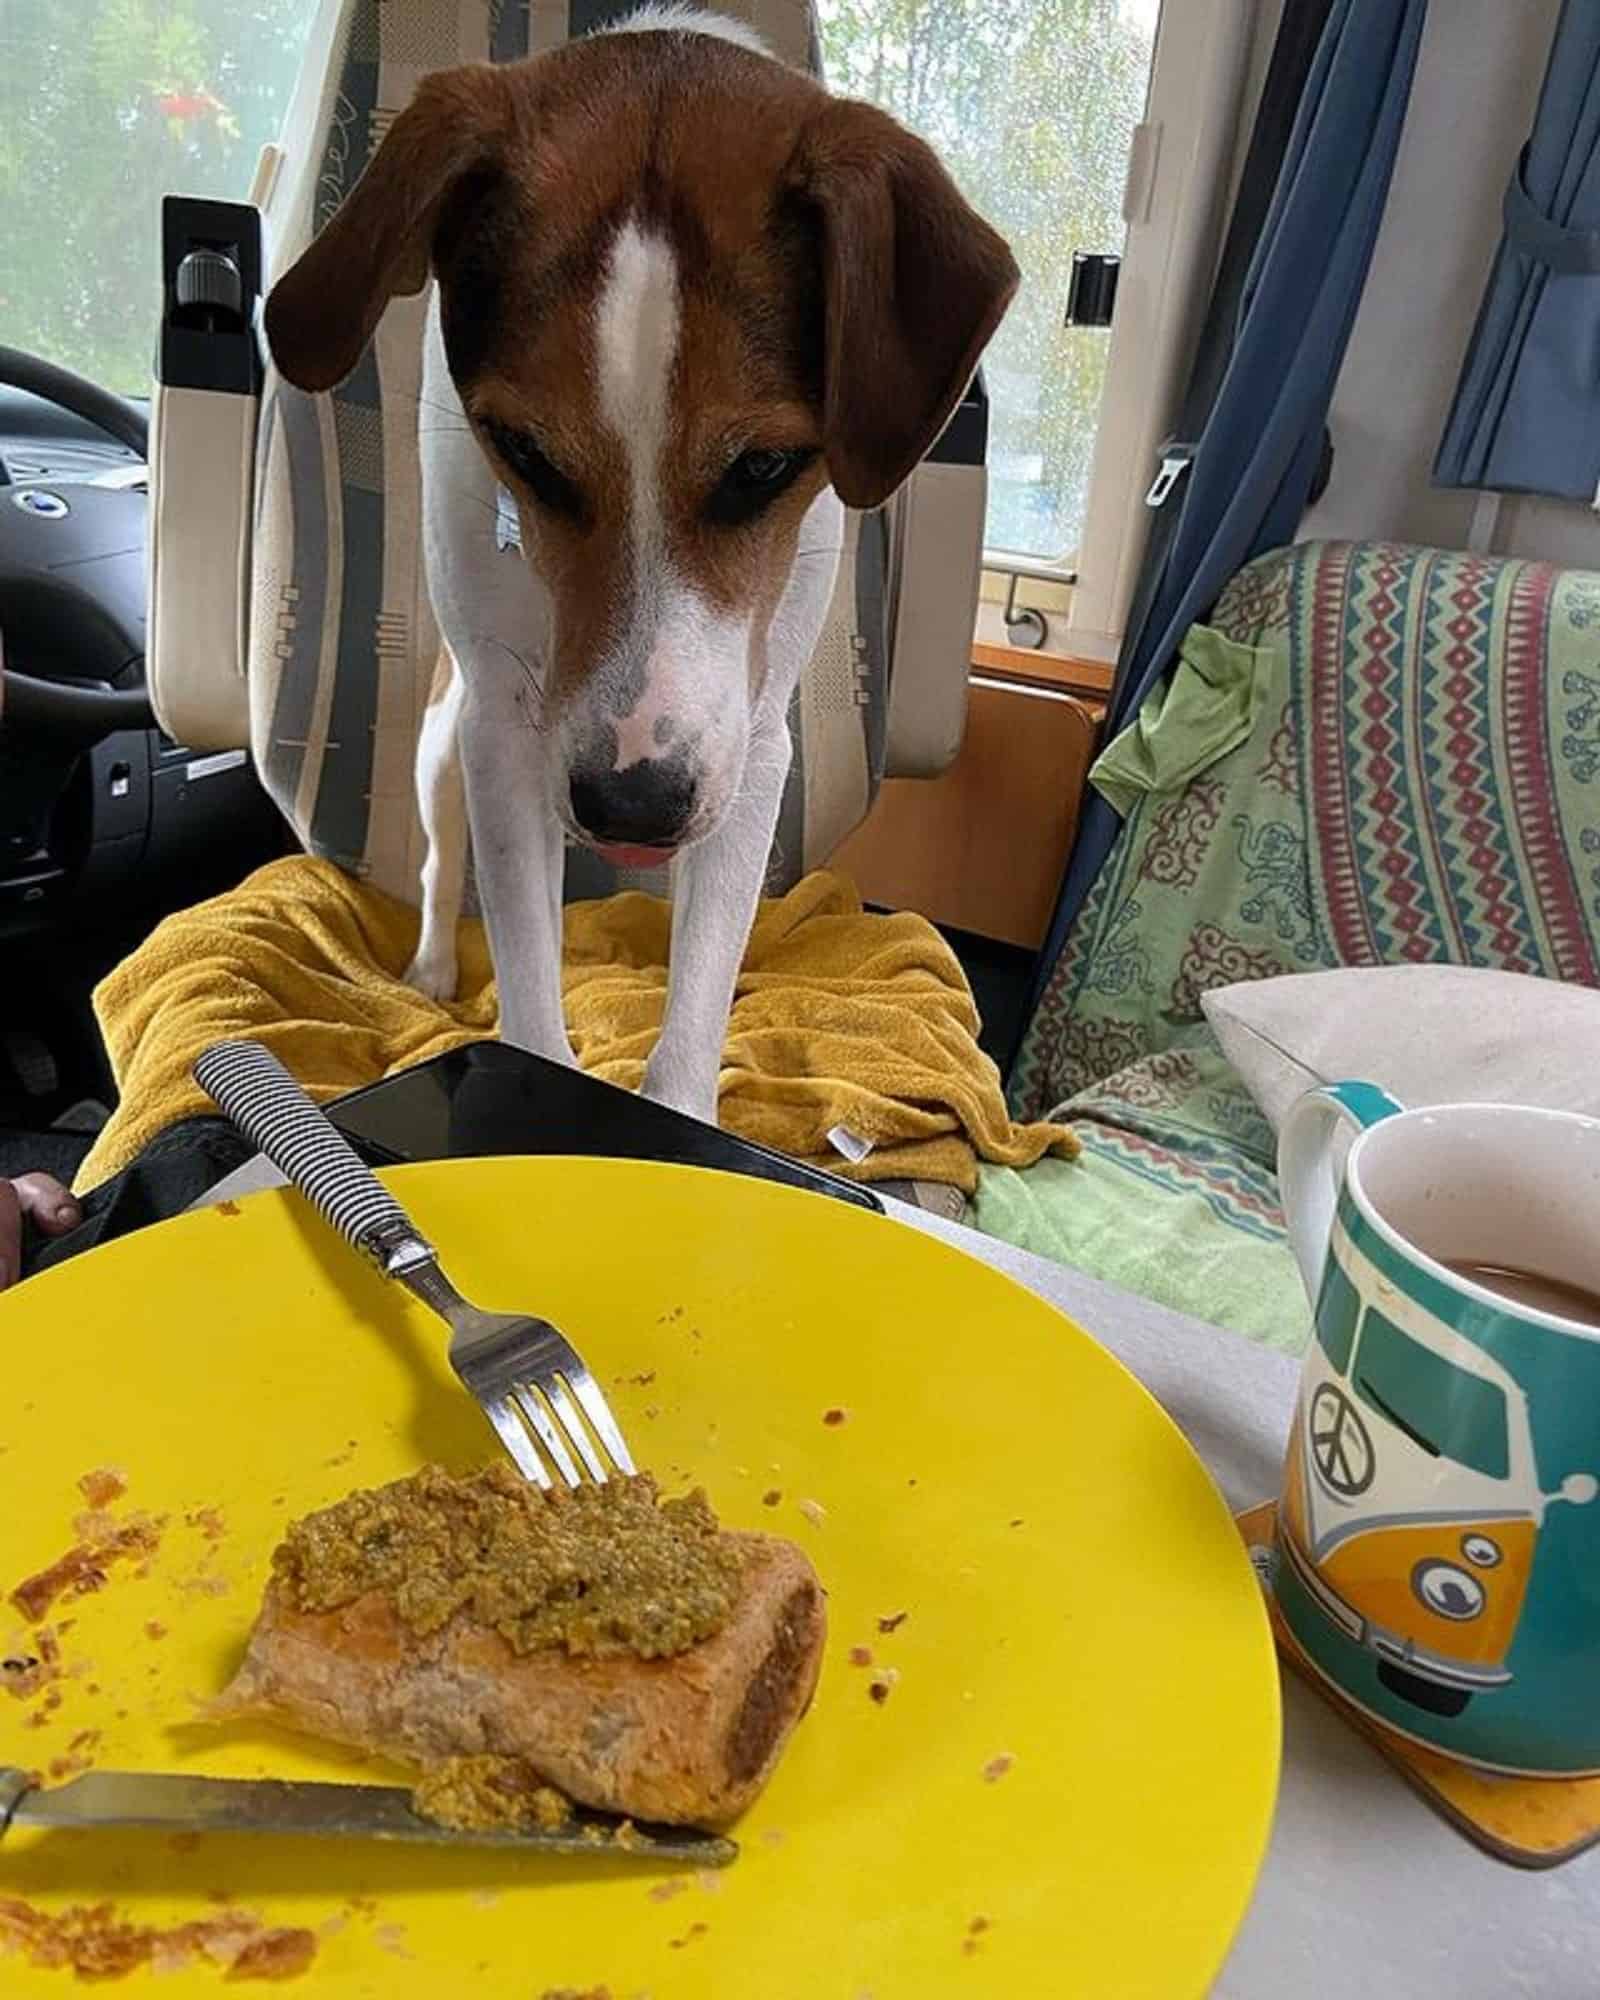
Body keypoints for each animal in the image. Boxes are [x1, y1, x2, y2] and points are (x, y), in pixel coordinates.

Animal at [260, 3, 1012, 1128]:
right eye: (523, 452)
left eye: (763, 467)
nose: (632, 806)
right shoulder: (503, 727)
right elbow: (527, 985)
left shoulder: (752, 743)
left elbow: (696, 996)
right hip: (441, 744)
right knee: (440, 865)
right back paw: (435, 961)